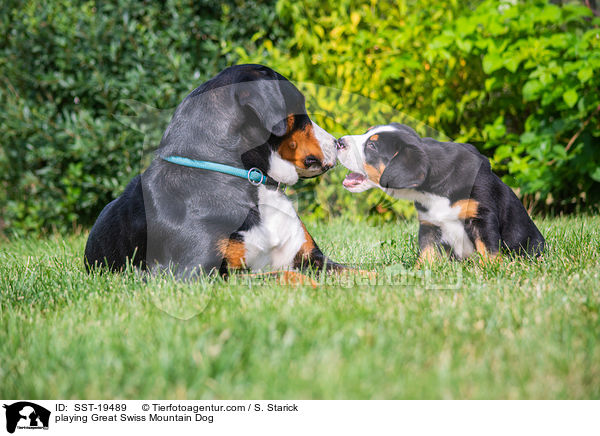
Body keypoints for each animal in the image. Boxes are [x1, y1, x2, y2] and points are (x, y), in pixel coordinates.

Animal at [86, 63, 344, 276]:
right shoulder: (197, 273)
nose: (338, 143)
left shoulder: (311, 258)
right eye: (300, 106)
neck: (253, 181)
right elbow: (282, 275)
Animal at [338, 122, 544, 262]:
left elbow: (489, 250)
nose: (339, 141)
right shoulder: (429, 224)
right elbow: (427, 254)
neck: (433, 191)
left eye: (372, 146)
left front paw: (493, 271)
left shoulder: (482, 217)